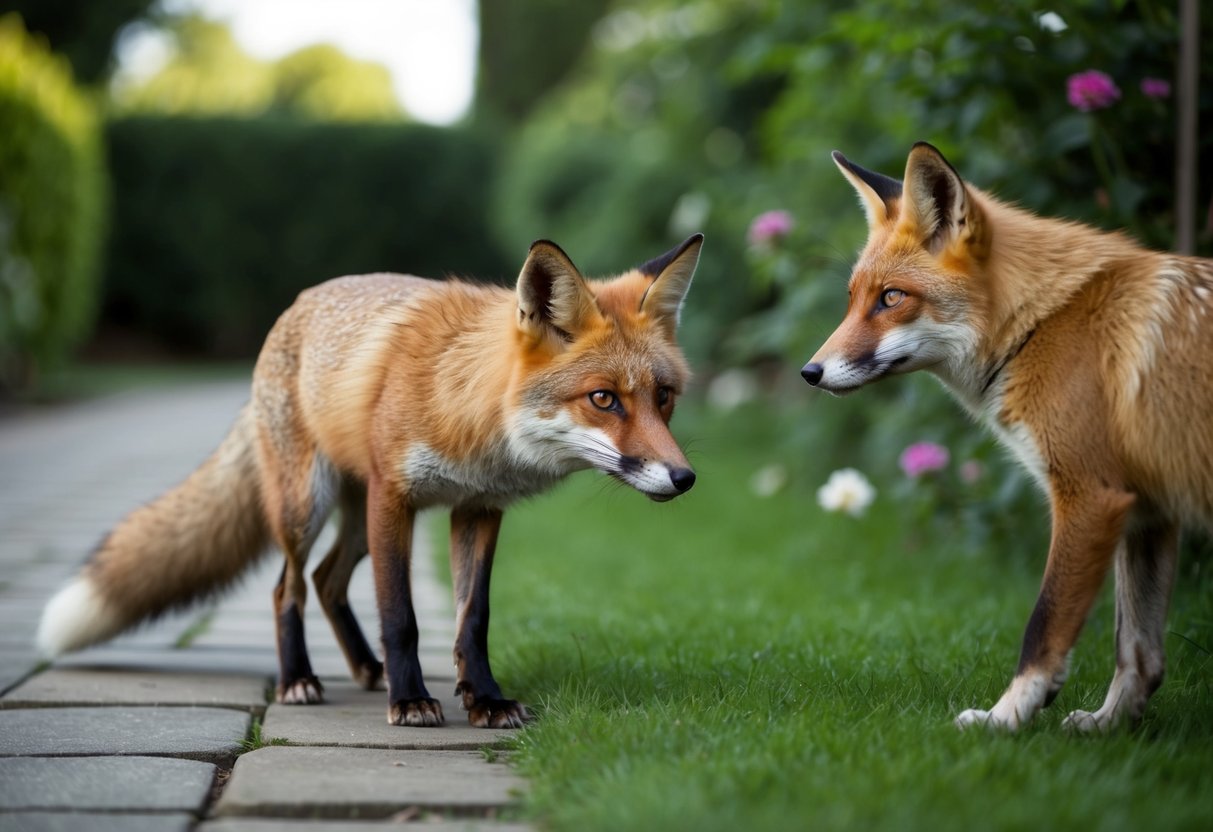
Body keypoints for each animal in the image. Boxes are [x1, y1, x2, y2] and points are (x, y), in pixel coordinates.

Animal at [37, 234, 703, 728]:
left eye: (664, 398)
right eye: (604, 399)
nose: (685, 477)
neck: (469, 410)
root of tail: (296, 305)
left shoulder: (479, 507)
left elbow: (473, 618)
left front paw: (484, 698)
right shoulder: (395, 497)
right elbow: (399, 614)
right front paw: (410, 700)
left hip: (354, 524)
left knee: (328, 581)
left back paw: (365, 669)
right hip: (306, 505)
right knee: (288, 588)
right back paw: (300, 679)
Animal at [801, 142, 1213, 732]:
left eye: (891, 298)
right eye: (853, 298)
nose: (809, 372)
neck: (1041, 324)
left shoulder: (1091, 497)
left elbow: (1044, 626)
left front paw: (1006, 720)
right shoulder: (1147, 510)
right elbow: (1138, 652)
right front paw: (1109, 726)